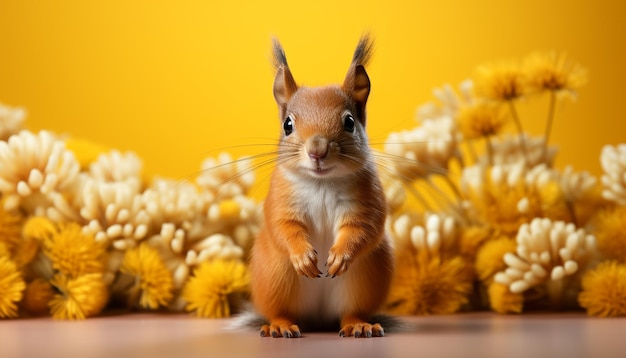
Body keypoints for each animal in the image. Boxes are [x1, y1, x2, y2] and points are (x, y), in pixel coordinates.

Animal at [247, 35, 390, 338]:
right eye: (287, 124)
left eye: (349, 122)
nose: (317, 151)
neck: (321, 182)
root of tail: (318, 319)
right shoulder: (280, 200)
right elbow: (283, 227)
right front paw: (303, 257)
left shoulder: (367, 201)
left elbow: (363, 229)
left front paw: (339, 256)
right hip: (276, 276)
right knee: (280, 310)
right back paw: (280, 326)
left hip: (363, 279)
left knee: (350, 311)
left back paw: (358, 325)